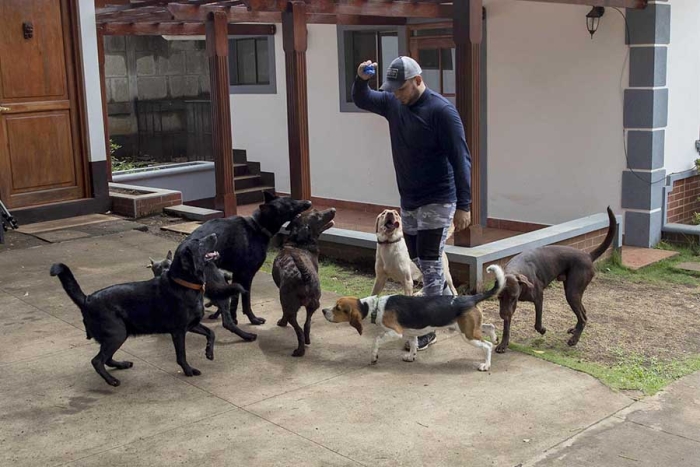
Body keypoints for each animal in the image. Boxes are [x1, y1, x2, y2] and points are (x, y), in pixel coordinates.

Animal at [50, 234, 246, 388]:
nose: (214, 234)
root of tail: (87, 299)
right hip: (117, 334)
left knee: (106, 358)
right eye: (198, 242)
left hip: (119, 334)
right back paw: (111, 380)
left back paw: (121, 365)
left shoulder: (192, 325)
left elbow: (211, 333)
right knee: (97, 361)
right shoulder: (178, 331)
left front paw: (209, 352)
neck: (184, 284)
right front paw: (188, 370)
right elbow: (181, 355)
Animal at [190, 192, 314, 334]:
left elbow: (235, 300)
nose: (309, 202)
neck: (258, 226)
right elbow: (246, 301)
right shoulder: (246, 275)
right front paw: (253, 320)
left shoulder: (237, 275)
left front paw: (235, 318)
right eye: (291, 204)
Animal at [272, 208, 334, 358]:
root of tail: (304, 276)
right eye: (317, 215)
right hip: (314, 304)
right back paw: (307, 340)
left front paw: (281, 322)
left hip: (289, 307)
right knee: (307, 324)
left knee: (297, 328)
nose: (333, 209)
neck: (299, 243)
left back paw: (299, 350)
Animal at [494, 207, 616, 352]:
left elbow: (537, 323)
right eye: (499, 297)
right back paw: (575, 330)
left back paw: (574, 339)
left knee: (583, 317)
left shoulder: (538, 298)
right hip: (573, 291)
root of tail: (588, 255)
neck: (517, 271)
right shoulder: (508, 307)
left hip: (572, 292)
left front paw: (542, 330)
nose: (503, 316)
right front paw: (503, 344)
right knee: (583, 313)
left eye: (513, 297)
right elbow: (506, 328)